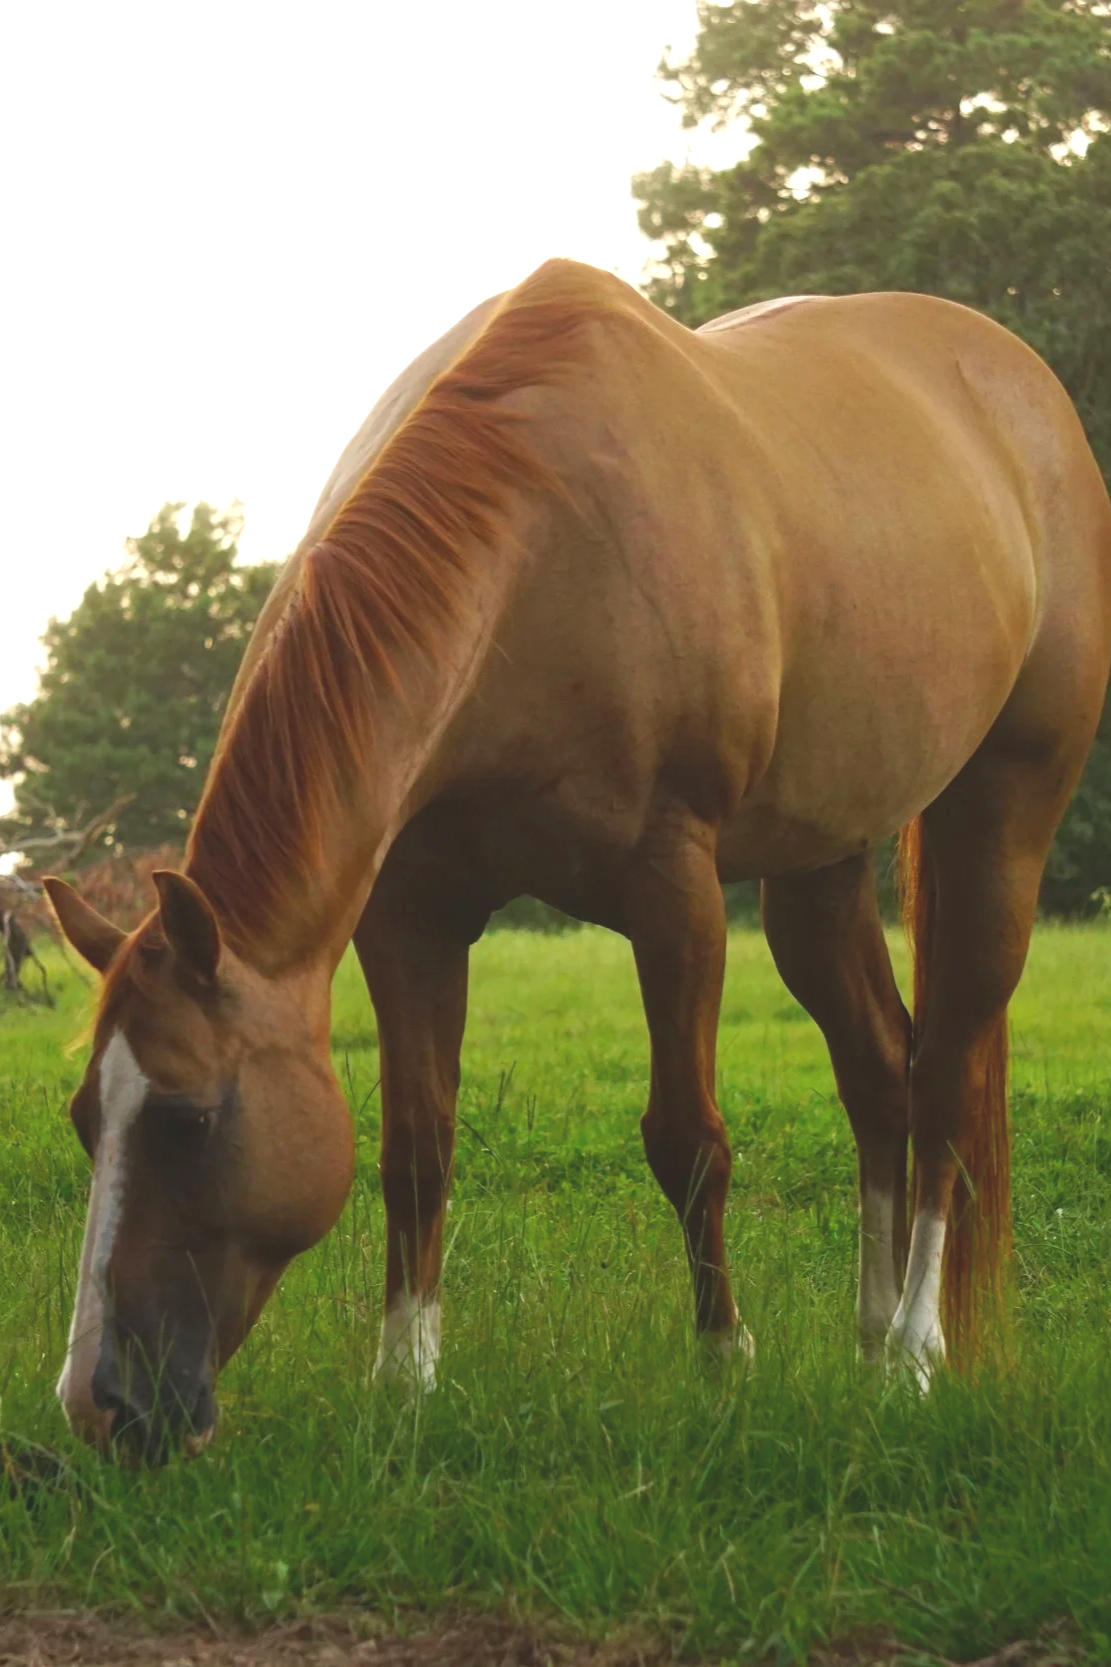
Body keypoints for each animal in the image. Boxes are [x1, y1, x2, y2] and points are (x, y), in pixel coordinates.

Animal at [44, 258, 1111, 1459]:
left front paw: (722, 1365)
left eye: (189, 1116)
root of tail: (1020, 386)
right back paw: (873, 1344)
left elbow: (687, 1139)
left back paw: (918, 1350)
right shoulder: (410, 912)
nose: (98, 1403)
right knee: (880, 1067)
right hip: (819, 858)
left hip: (1002, 814)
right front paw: (404, 1381)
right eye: (86, 1118)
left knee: (943, 1084)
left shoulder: (674, 889)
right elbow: (417, 1142)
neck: (537, 559)